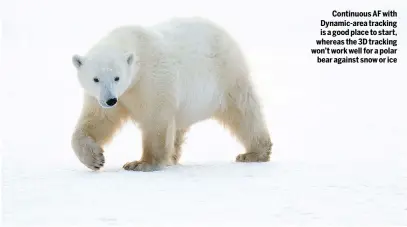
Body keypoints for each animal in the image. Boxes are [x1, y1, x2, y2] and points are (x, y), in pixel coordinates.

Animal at [70, 16, 274, 171]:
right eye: (96, 79)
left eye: (117, 77)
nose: (110, 100)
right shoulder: (106, 96)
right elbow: (99, 120)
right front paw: (95, 159)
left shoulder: (151, 80)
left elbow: (155, 120)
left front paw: (141, 163)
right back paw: (173, 156)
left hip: (226, 74)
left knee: (243, 111)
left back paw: (254, 153)